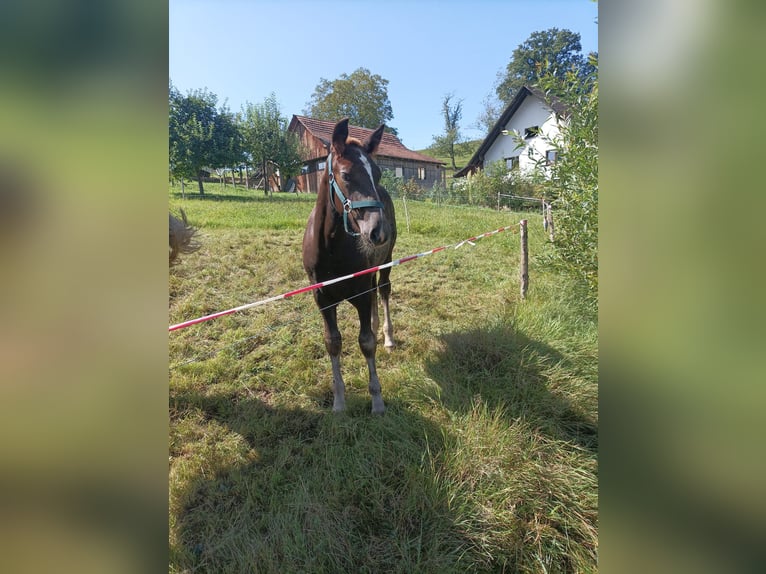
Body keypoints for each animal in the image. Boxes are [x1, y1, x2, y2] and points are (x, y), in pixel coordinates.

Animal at [302, 118, 396, 414]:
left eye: (378, 173)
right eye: (345, 174)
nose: (379, 231)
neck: (331, 247)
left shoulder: (361, 292)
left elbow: (366, 342)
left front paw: (377, 401)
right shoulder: (322, 298)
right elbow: (333, 342)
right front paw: (339, 402)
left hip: (386, 262)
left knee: (383, 290)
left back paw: (388, 336)